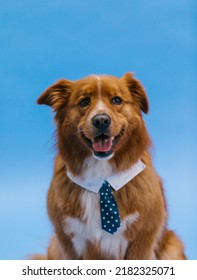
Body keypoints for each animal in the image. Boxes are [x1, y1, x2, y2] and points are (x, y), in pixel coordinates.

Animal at [36, 73, 185, 260]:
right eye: (84, 101)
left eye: (116, 100)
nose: (101, 120)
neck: (102, 177)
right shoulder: (67, 239)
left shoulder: (143, 237)